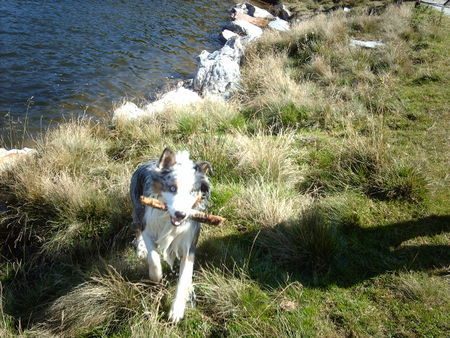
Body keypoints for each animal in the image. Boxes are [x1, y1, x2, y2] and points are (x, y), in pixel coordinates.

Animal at [130, 147, 211, 322]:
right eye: (172, 188)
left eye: (192, 191)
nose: (181, 214)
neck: (168, 219)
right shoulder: (148, 226)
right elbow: (153, 257)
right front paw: (156, 276)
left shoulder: (189, 244)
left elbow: (184, 278)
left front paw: (177, 310)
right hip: (137, 207)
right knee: (137, 228)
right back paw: (140, 248)